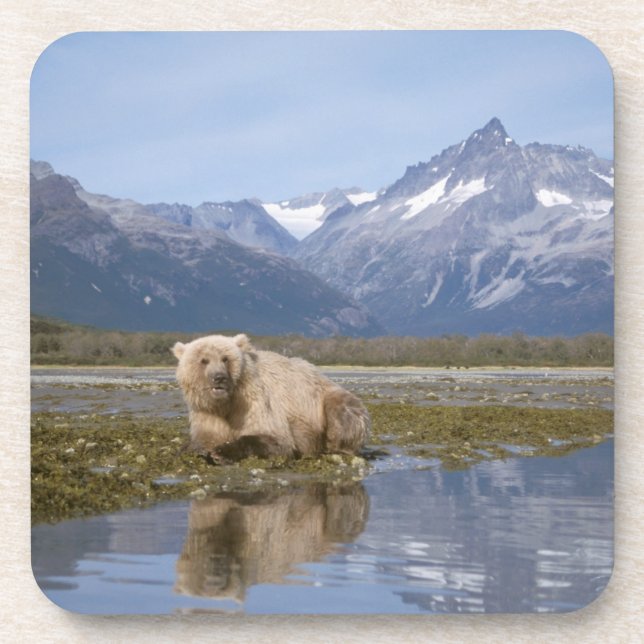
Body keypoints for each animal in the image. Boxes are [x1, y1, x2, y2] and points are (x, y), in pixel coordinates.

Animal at [172, 333, 370, 460]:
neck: (227, 402)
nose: (219, 377)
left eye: (225, 358)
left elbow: (275, 438)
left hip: (326, 399)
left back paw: (335, 448)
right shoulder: (207, 412)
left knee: (343, 412)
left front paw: (222, 452)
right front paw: (192, 449)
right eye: (204, 360)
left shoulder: (255, 401)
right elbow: (205, 436)